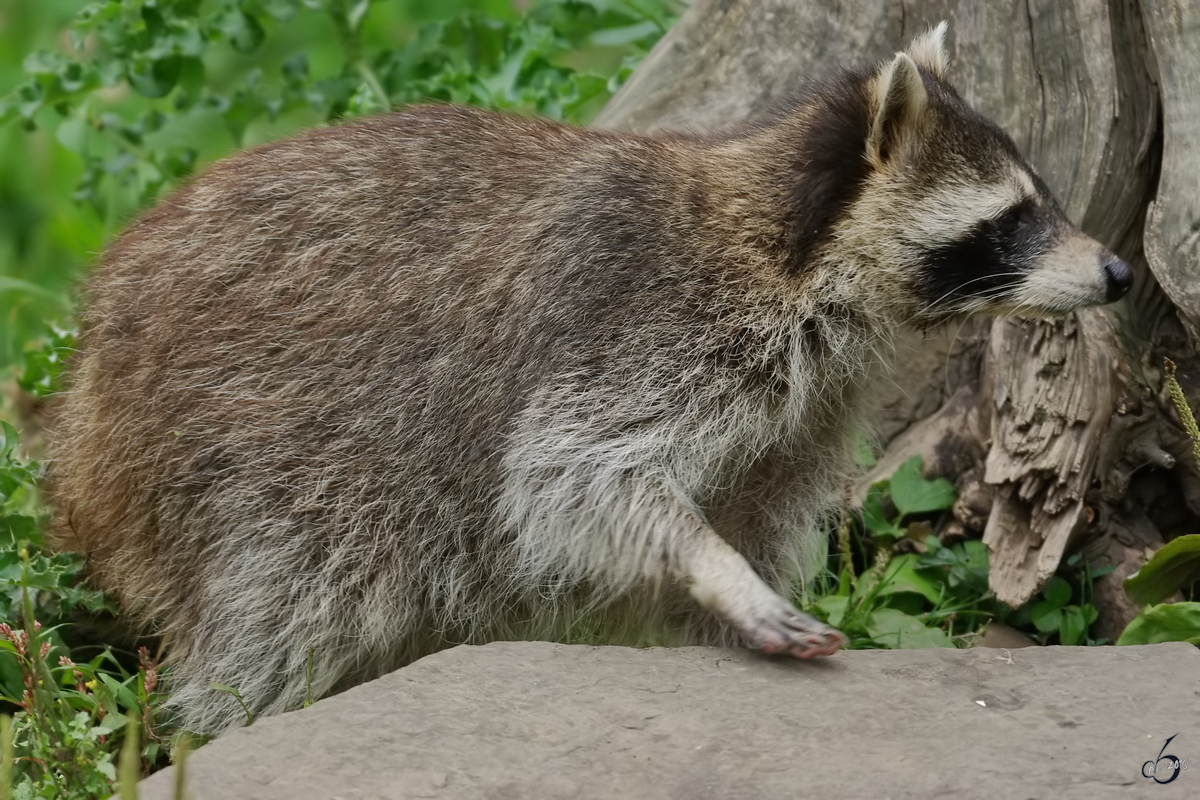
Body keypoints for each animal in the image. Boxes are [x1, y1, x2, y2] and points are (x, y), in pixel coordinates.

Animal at [49, 21, 1132, 734]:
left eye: (1043, 199)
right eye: (1011, 220)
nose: (1119, 272)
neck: (792, 254)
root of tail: (91, 364)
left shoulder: (803, 409)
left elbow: (736, 508)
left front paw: (719, 601)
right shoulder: (649, 322)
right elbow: (576, 477)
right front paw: (719, 572)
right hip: (246, 459)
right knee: (280, 614)